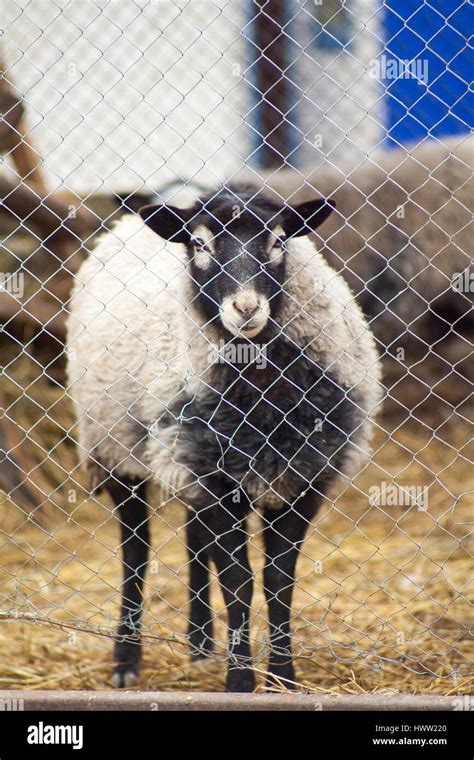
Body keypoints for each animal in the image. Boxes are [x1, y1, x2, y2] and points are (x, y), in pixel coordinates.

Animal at [65, 183, 382, 688]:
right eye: (199, 245)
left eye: (279, 241)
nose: (246, 309)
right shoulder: (212, 478)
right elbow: (238, 581)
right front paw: (241, 682)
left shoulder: (303, 475)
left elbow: (278, 581)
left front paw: (283, 677)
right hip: (115, 444)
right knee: (136, 549)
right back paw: (126, 659)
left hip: (187, 452)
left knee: (195, 541)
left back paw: (199, 642)